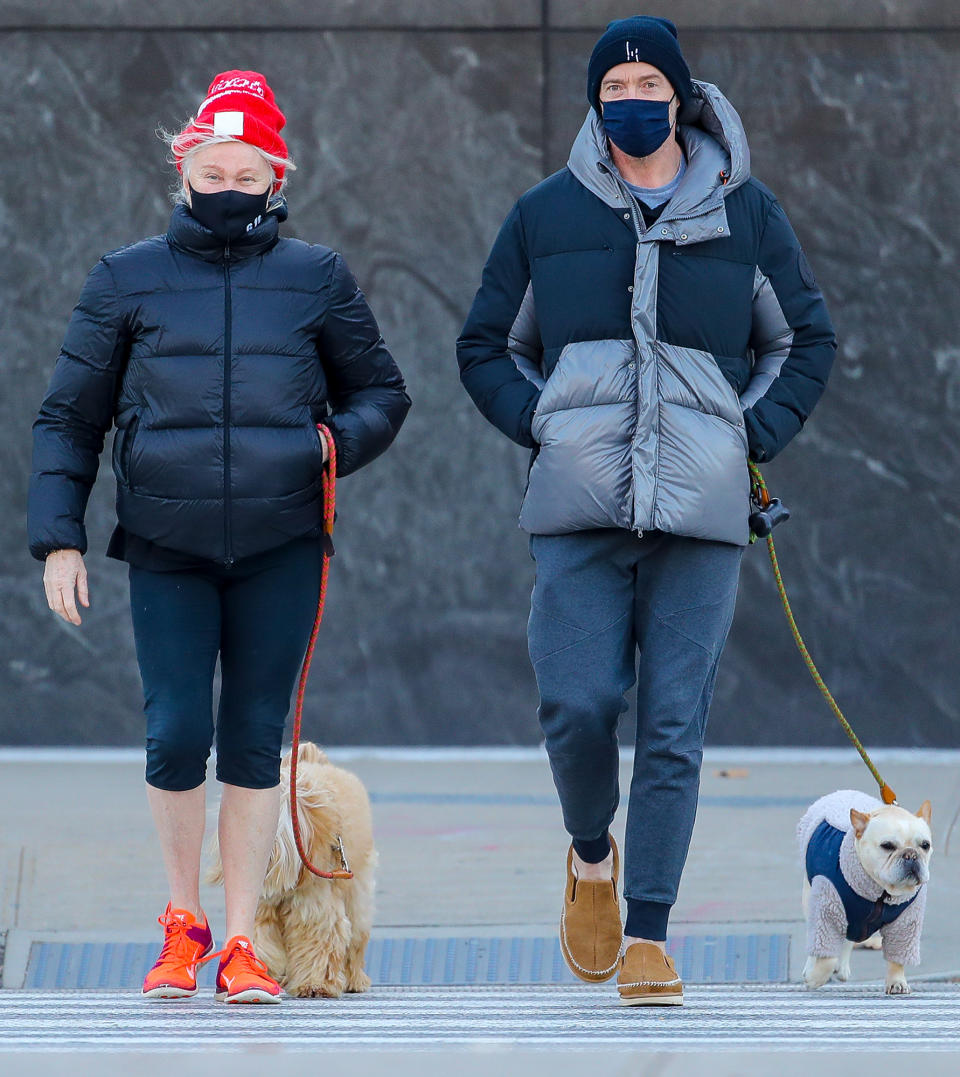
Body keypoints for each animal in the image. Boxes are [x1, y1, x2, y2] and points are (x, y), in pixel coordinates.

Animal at [207, 745, 377, 995]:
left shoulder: (315, 908)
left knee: (356, 940)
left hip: (356, 894)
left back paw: (356, 979)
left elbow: (317, 944)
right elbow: (261, 941)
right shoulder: (262, 909)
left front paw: (315, 984)